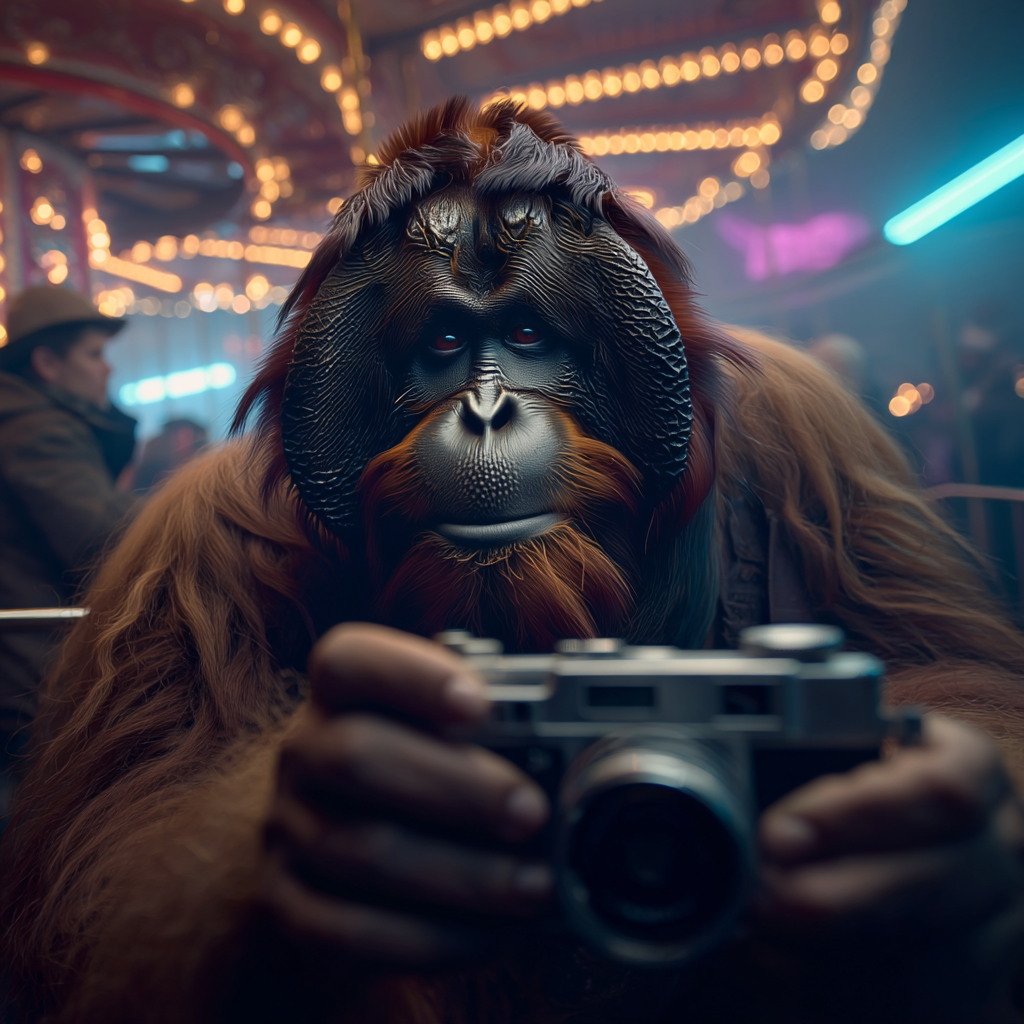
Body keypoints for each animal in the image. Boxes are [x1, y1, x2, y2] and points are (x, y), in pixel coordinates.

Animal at [3, 98, 1024, 1024]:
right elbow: (120, 850)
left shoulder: (821, 452)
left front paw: (932, 878)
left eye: (529, 336)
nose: (486, 411)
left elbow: (950, 666)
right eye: (447, 342)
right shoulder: (194, 552)